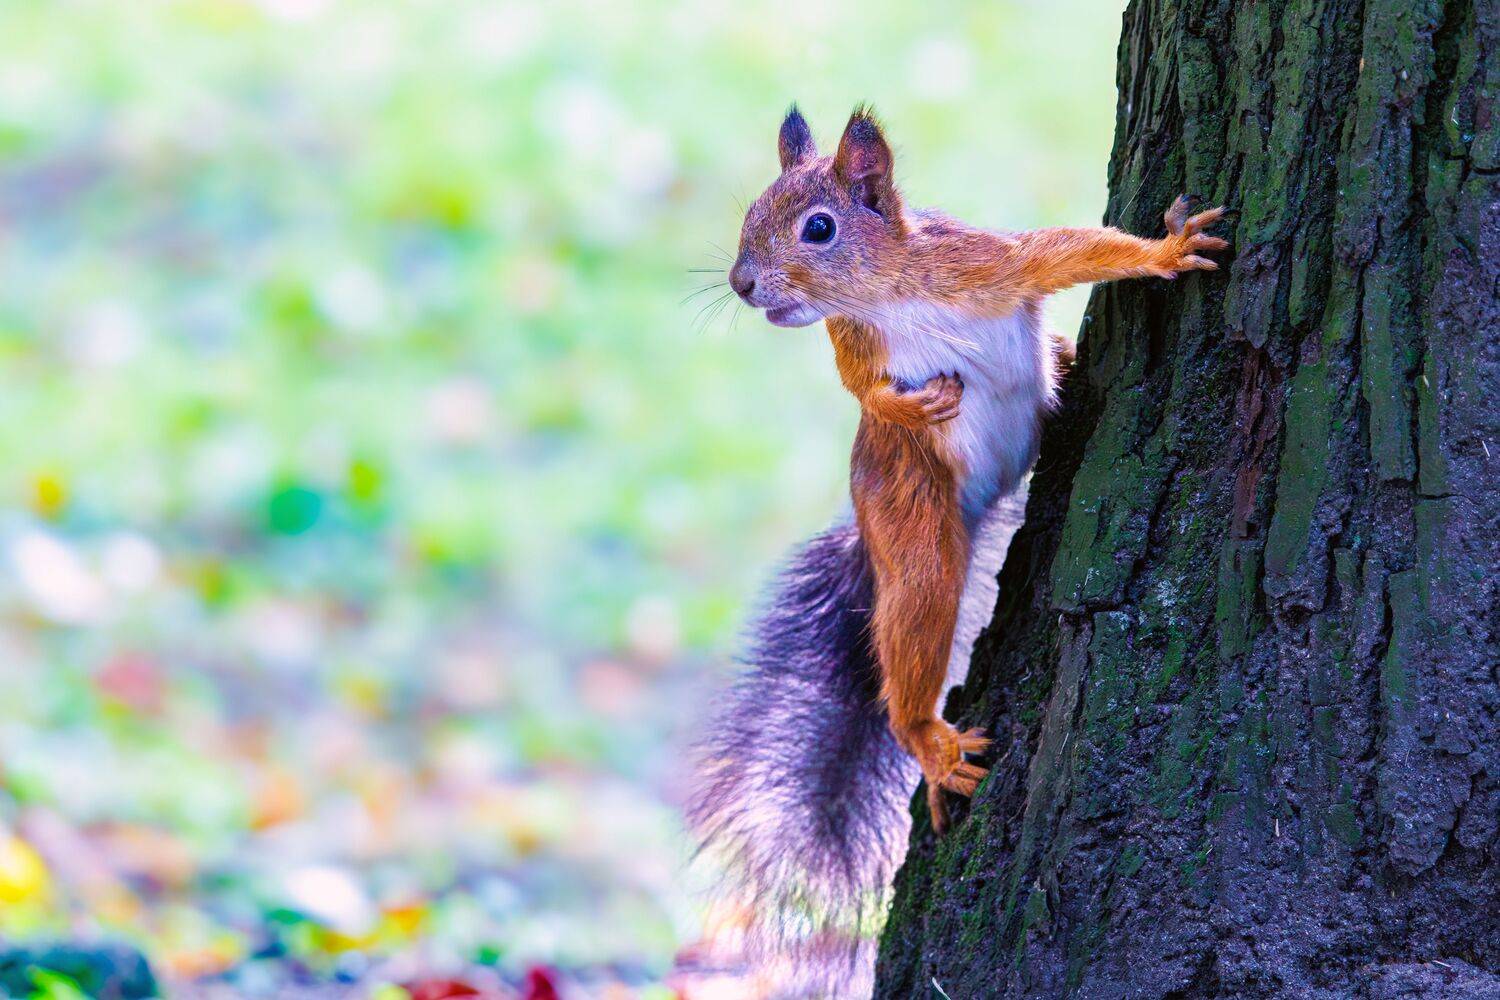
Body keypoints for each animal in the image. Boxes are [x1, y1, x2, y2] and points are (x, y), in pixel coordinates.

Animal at [687, 105, 1226, 991]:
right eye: (751, 214)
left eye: (818, 228)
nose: (741, 283)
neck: (888, 291)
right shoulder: (855, 343)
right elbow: (861, 389)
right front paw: (906, 407)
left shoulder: (985, 263)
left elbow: (1068, 250)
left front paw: (1163, 251)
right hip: (916, 519)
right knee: (914, 623)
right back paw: (931, 744)